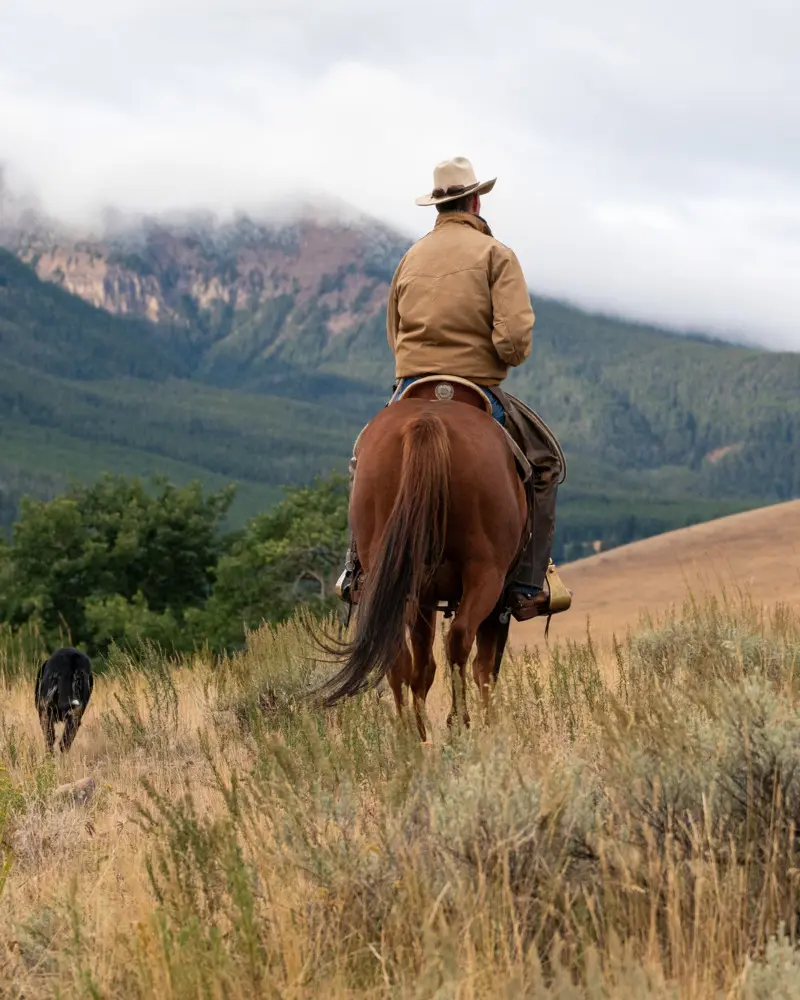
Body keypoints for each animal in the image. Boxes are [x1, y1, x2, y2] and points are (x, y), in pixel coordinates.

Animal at [316, 378, 528, 740]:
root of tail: (428, 420)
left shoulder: (422, 597)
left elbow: (424, 666)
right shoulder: (496, 602)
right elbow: (484, 667)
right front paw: (489, 726)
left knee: (399, 653)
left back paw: (411, 734)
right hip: (486, 574)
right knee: (460, 640)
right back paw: (458, 723)